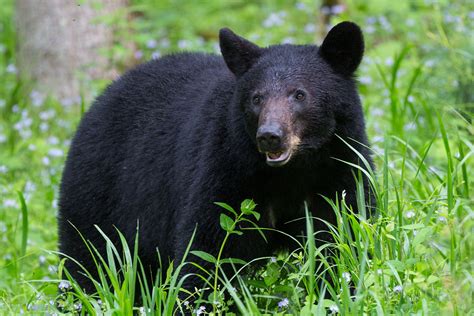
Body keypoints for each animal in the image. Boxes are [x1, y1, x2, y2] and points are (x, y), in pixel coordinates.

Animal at [57, 21, 374, 294]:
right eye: (256, 98)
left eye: (299, 94)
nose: (270, 135)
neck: (292, 172)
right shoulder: (225, 168)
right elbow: (208, 250)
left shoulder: (340, 170)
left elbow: (340, 241)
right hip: (99, 192)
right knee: (89, 261)